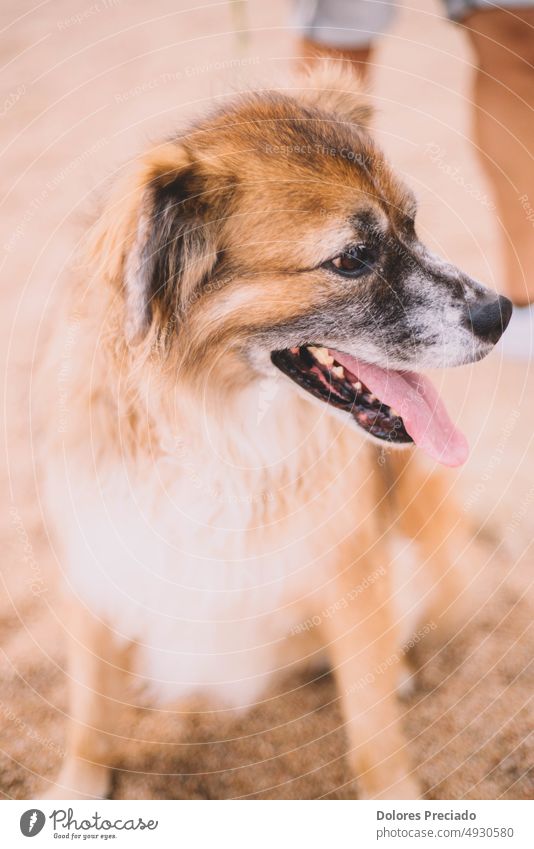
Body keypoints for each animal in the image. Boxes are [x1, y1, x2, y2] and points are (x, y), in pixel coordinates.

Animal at [39, 66, 512, 800]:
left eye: (412, 225)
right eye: (353, 258)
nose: (502, 314)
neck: (213, 423)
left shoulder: (350, 572)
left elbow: (373, 728)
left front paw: (394, 797)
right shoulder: (100, 561)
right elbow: (90, 717)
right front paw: (77, 791)